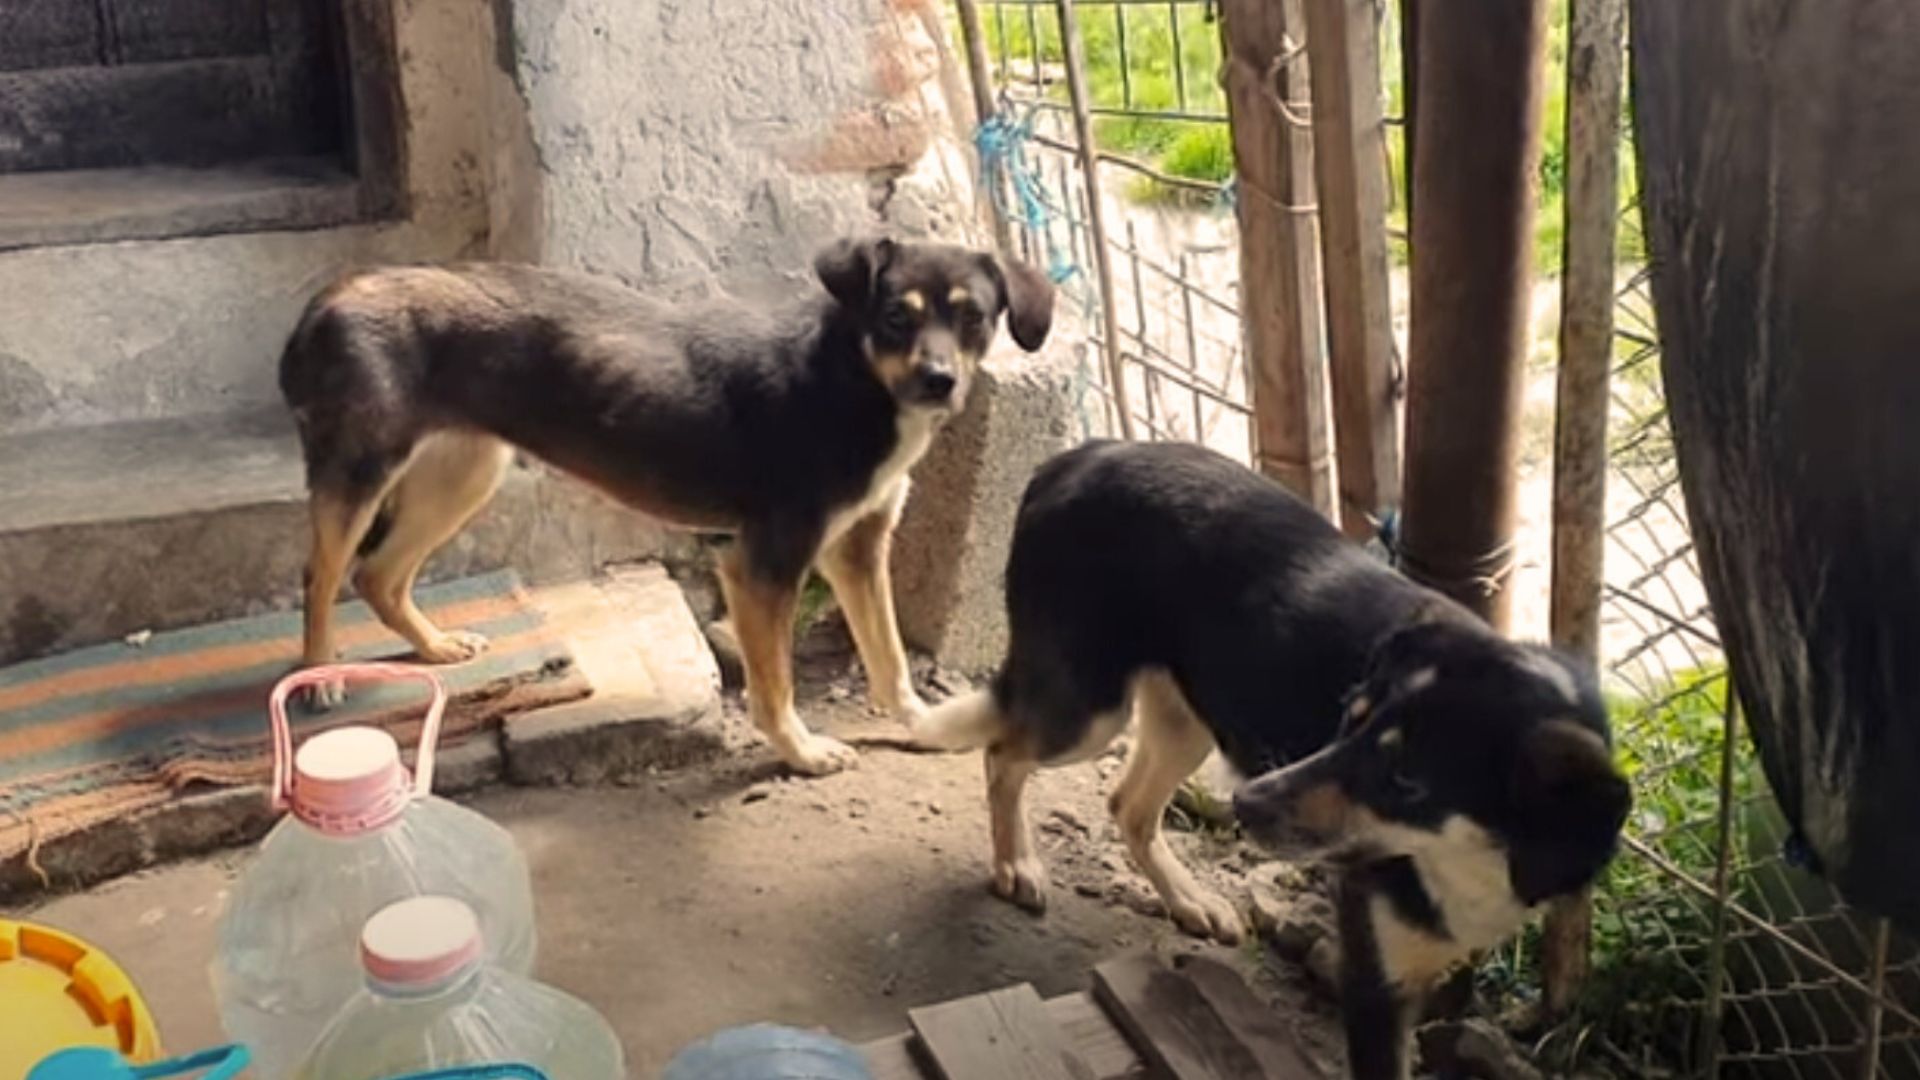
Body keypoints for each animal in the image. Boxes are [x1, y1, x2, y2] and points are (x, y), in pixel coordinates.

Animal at [280, 236, 1052, 772]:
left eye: (975, 318)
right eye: (895, 316)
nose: (939, 380)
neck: (850, 382)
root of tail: (333, 295)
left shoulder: (858, 550)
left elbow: (890, 661)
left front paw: (928, 727)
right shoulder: (763, 566)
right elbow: (776, 689)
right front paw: (802, 753)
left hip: (466, 473)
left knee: (379, 575)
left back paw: (435, 645)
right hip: (361, 471)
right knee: (321, 576)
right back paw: (320, 676)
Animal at [910, 440, 1620, 1076]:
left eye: (1407, 778)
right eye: (1348, 719)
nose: (1246, 804)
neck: (1475, 858)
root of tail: (1077, 456)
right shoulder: (1374, 992)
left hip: (1186, 721)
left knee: (1127, 806)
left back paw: (1189, 899)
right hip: (1086, 712)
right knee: (1003, 753)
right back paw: (1017, 864)